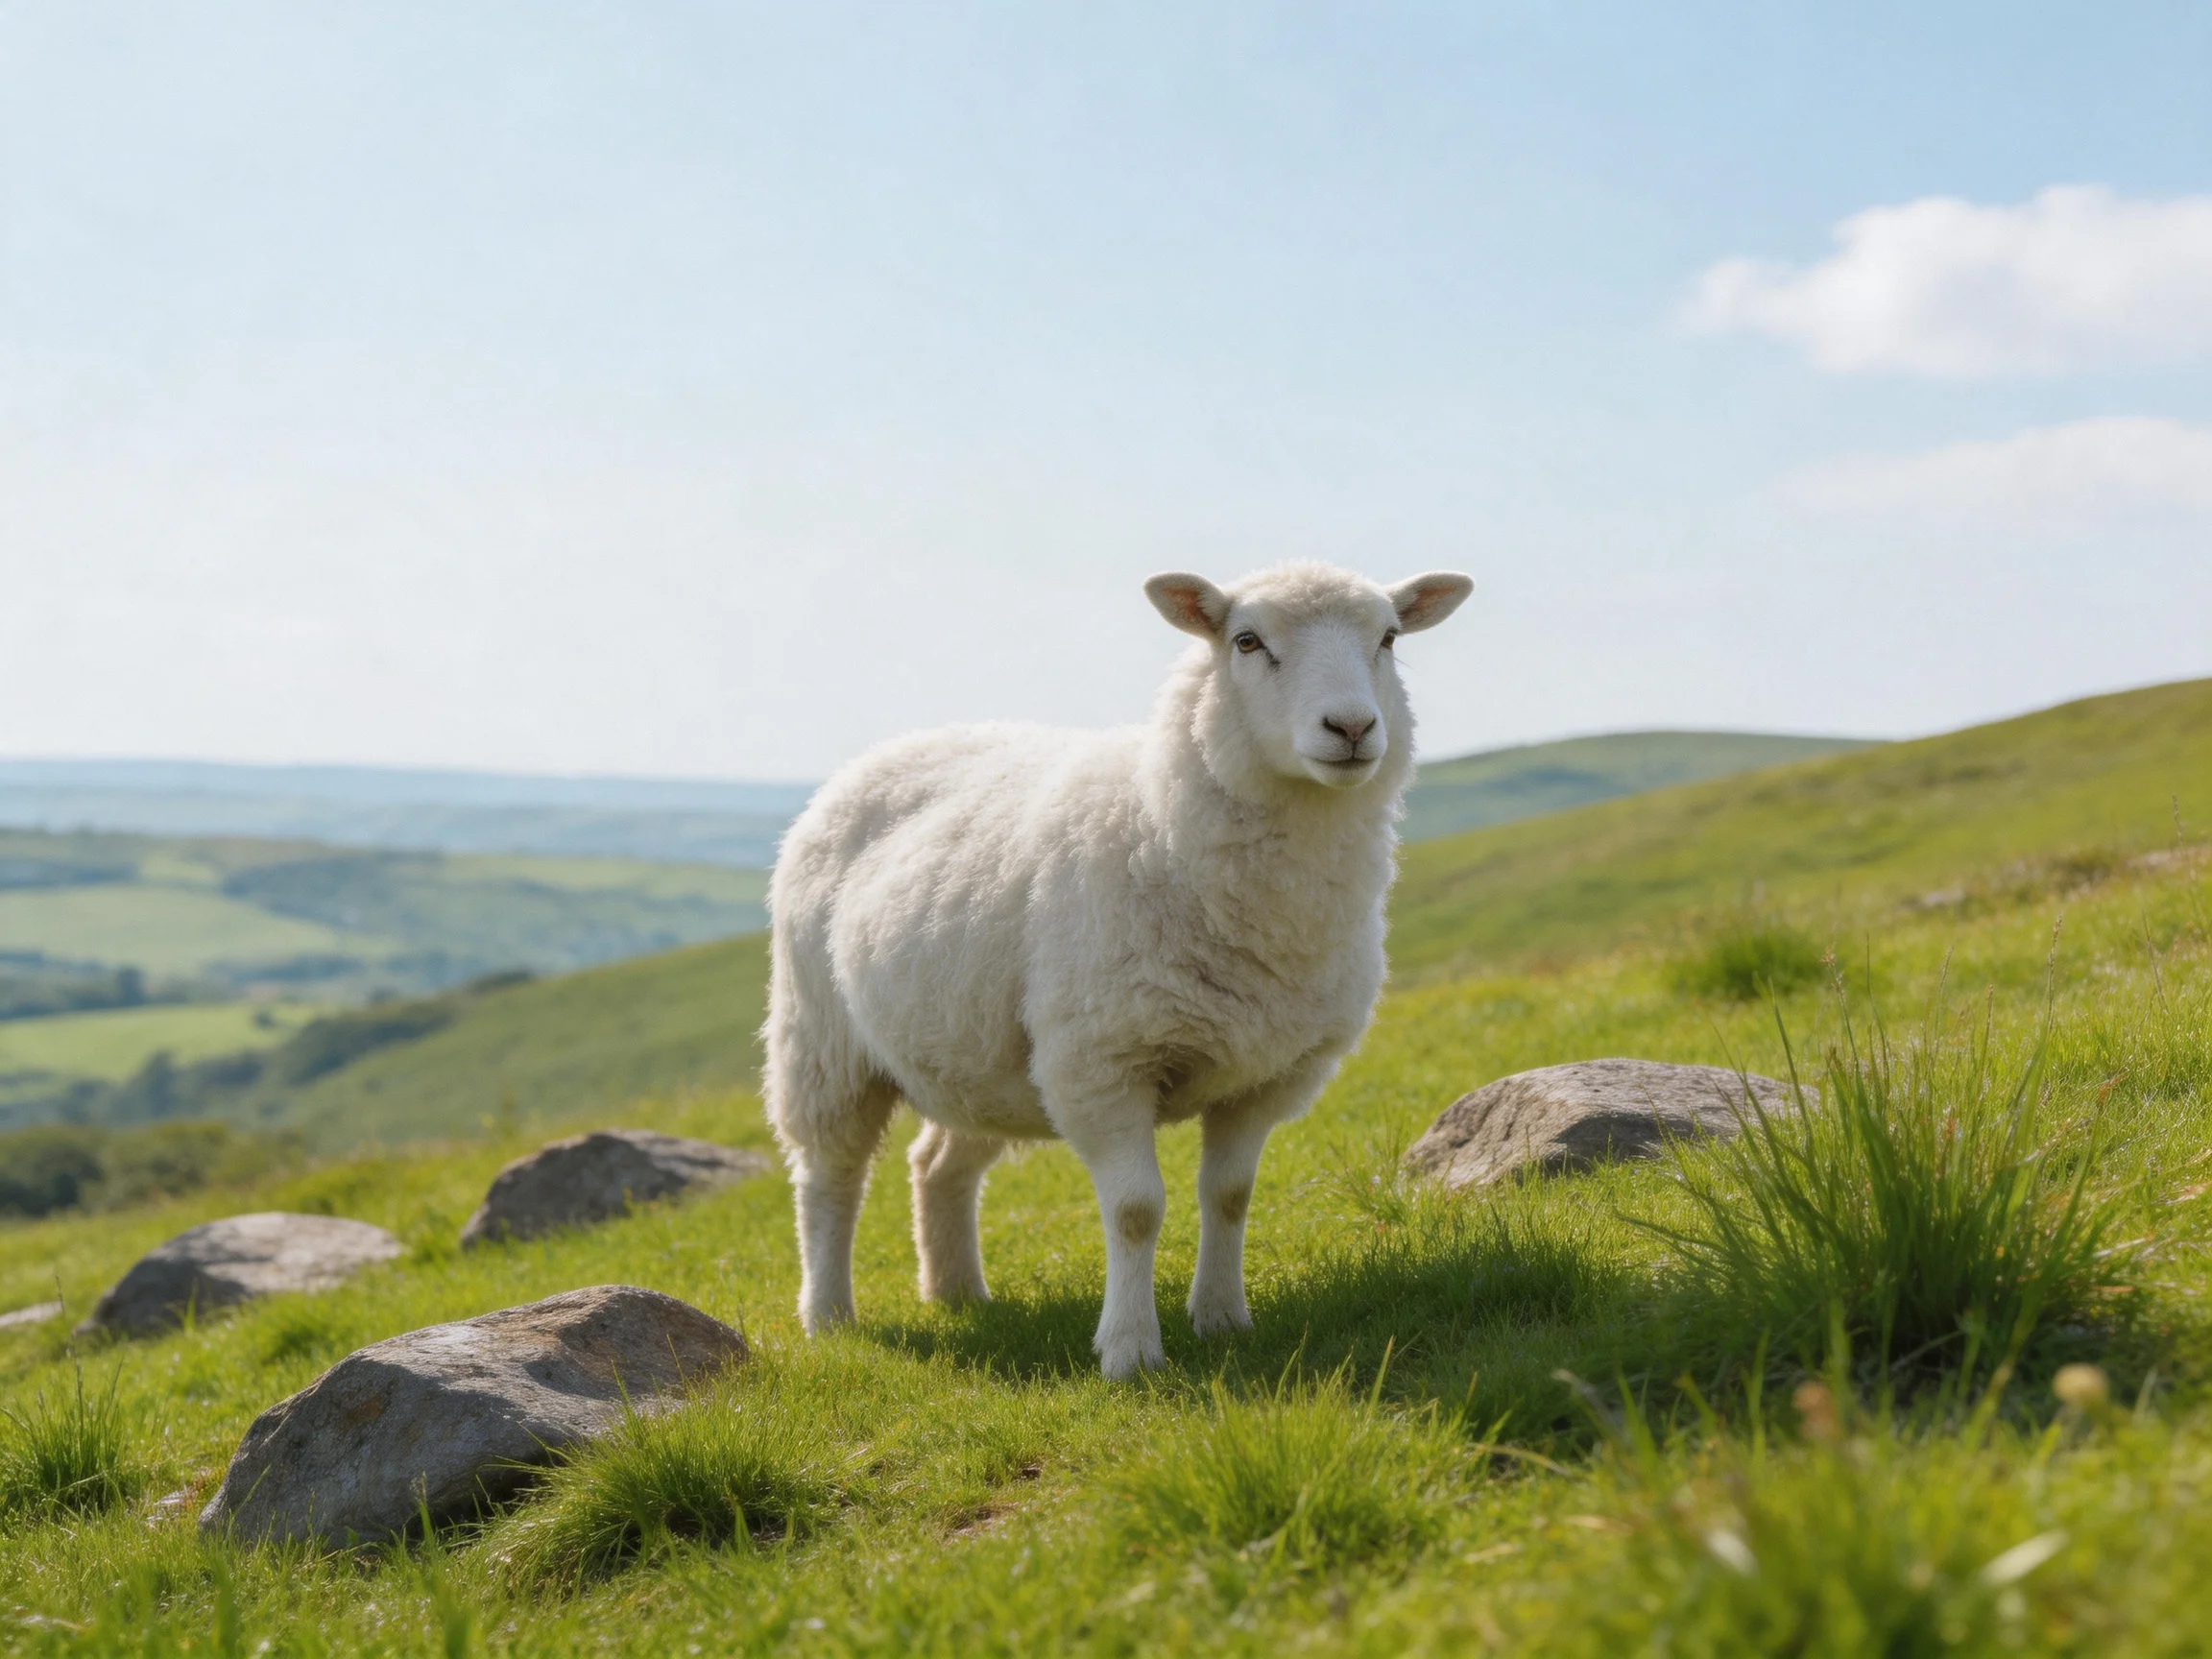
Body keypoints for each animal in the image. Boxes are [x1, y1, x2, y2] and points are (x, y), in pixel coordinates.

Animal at [763, 561, 1473, 1378]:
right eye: (1246, 640)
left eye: (1388, 637)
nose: (1352, 728)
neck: (1160, 821)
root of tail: (882, 754)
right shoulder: (1102, 1062)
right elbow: (1136, 1210)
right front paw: (1131, 1351)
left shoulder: (1267, 1074)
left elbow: (1230, 1195)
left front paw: (1223, 1319)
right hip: (823, 1043)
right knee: (828, 1178)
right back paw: (828, 1318)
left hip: (984, 1053)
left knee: (937, 1163)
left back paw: (959, 1293)